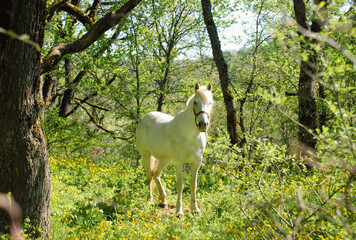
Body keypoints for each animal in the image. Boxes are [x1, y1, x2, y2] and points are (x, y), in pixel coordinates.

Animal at [135, 83, 213, 215]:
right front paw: (179, 211)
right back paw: (150, 200)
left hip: (164, 159)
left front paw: (195, 209)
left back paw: (163, 201)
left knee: (156, 174)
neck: (190, 135)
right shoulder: (179, 162)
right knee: (149, 175)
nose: (203, 124)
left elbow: (193, 185)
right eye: (195, 102)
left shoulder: (196, 162)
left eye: (211, 103)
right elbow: (180, 185)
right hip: (146, 155)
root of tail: (145, 118)